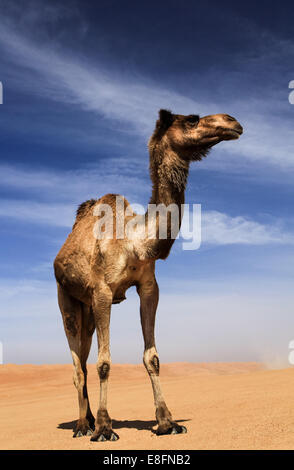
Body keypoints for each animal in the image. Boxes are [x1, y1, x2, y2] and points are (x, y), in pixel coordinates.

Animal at [54, 109, 242, 440]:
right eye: (192, 119)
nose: (233, 121)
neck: (134, 241)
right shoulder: (102, 292)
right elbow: (105, 362)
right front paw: (105, 428)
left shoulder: (148, 287)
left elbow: (151, 357)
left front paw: (168, 423)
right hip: (66, 297)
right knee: (78, 364)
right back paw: (82, 426)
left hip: (86, 309)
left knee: (84, 360)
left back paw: (87, 419)